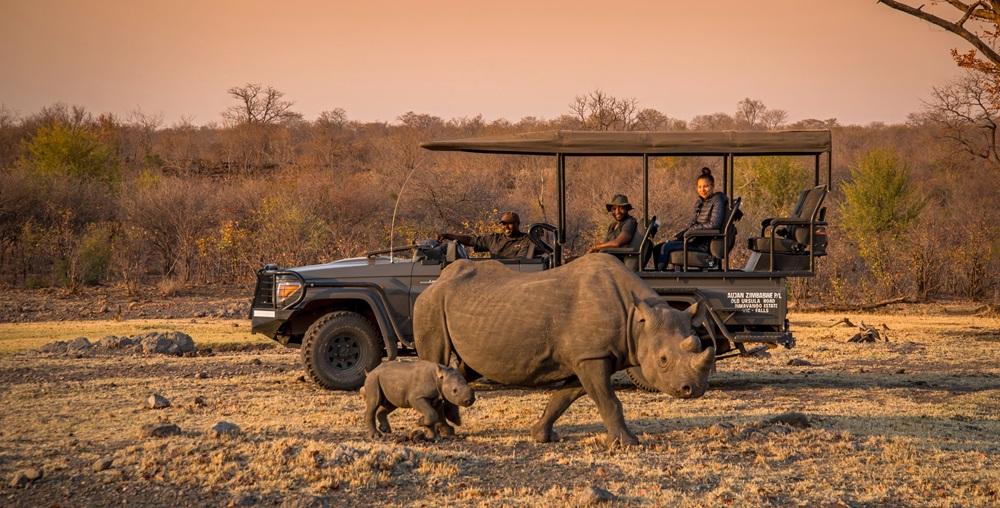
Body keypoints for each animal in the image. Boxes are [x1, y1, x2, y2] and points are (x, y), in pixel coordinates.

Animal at [414, 253, 715, 446]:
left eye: (701, 345)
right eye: (663, 360)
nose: (693, 390)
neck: (637, 319)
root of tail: (434, 282)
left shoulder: (587, 356)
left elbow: (565, 397)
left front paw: (541, 436)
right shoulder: (592, 355)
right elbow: (609, 400)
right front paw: (628, 443)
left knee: (465, 368)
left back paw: (452, 422)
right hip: (429, 304)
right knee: (436, 360)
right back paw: (443, 432)